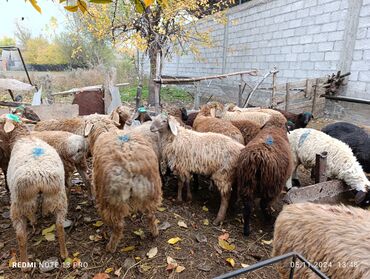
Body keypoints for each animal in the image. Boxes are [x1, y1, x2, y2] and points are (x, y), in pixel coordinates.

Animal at [0, 114, 68, 274]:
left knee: (21, 236)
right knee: (60, 226)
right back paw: (64, 254)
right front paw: (44, 214)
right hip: (58, 197)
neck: (24, 137)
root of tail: (39, 175)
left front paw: (35, 221)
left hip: (19, 203)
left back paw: (24, 264)